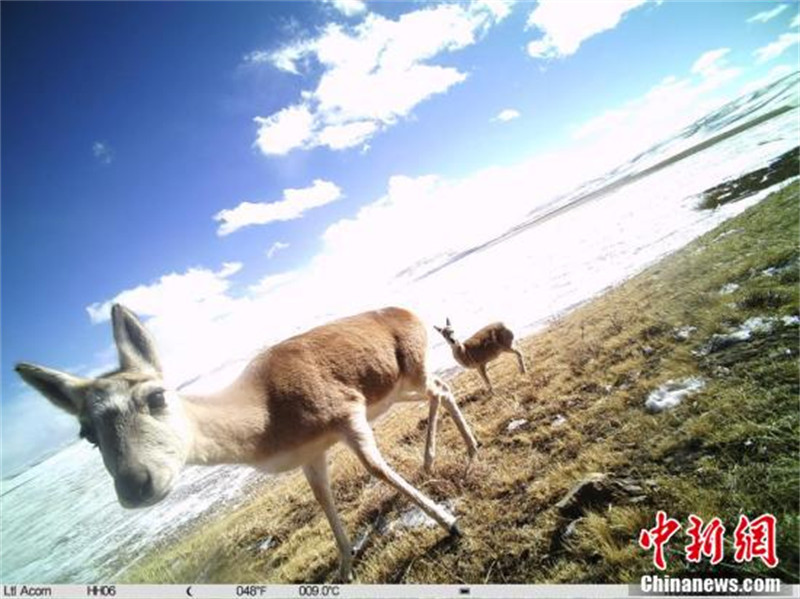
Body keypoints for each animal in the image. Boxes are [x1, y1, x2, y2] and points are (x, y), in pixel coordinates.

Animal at [15, 304, 478, 580]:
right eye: (86, 432)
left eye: (156, 396)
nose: (136, 484)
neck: (267, 413)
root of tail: (408, 311)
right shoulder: (311, 454)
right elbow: (324, 501)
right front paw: (344, 570)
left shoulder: (348, 416)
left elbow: (376, 469)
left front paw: (451, 524)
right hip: (401, 390)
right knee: (443, 391)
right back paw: (455, 454)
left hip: (411, 376)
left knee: (440, 389)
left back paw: (450, 456)